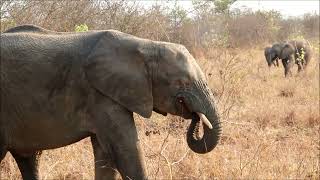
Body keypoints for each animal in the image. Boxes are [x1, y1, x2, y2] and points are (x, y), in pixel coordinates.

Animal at [0, 25, 221, 180]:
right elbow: (125, 150)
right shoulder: (101, 95)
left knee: (29, 159)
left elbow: (106, 155)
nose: (195, 117)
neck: (146, 46)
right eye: (182, 82)